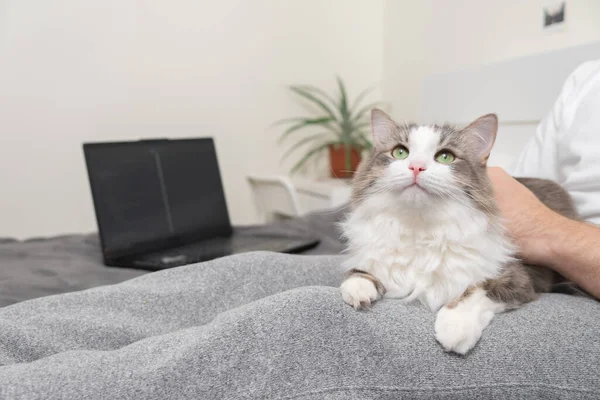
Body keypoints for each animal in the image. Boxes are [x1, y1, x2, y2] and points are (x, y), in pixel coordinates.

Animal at [338, 108, 576, 354]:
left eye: (445, 157)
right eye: (400, 152)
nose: (416, 167)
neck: (419, 227)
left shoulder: (517, 277)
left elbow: (477, 291)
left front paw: (455, 326)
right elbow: (359, 272)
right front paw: (359, 287)